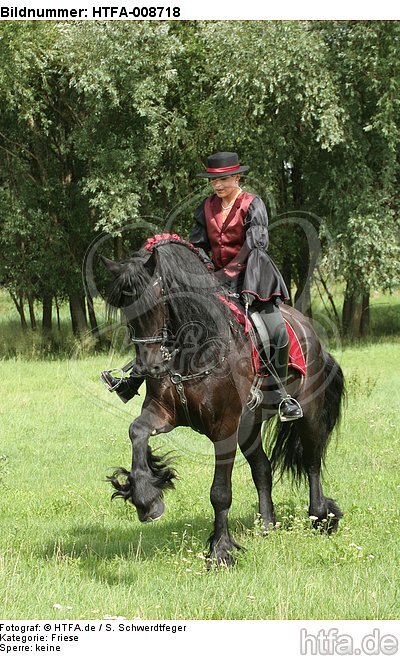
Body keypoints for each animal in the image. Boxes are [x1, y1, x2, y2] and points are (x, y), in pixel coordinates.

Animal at [101, 234, 344, 566]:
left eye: (156, 302)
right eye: (126, 308)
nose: (149, 367)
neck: (194, 350)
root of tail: (308, 328)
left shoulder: (224, 429)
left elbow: (220, 492)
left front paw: (220, 551)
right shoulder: (163, 413)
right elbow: (136, 432)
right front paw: (146, 499)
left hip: (306, 410)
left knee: (311, 461)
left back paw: (320, 516)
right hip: (250, 425)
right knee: (262, 468)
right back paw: (267, 525)